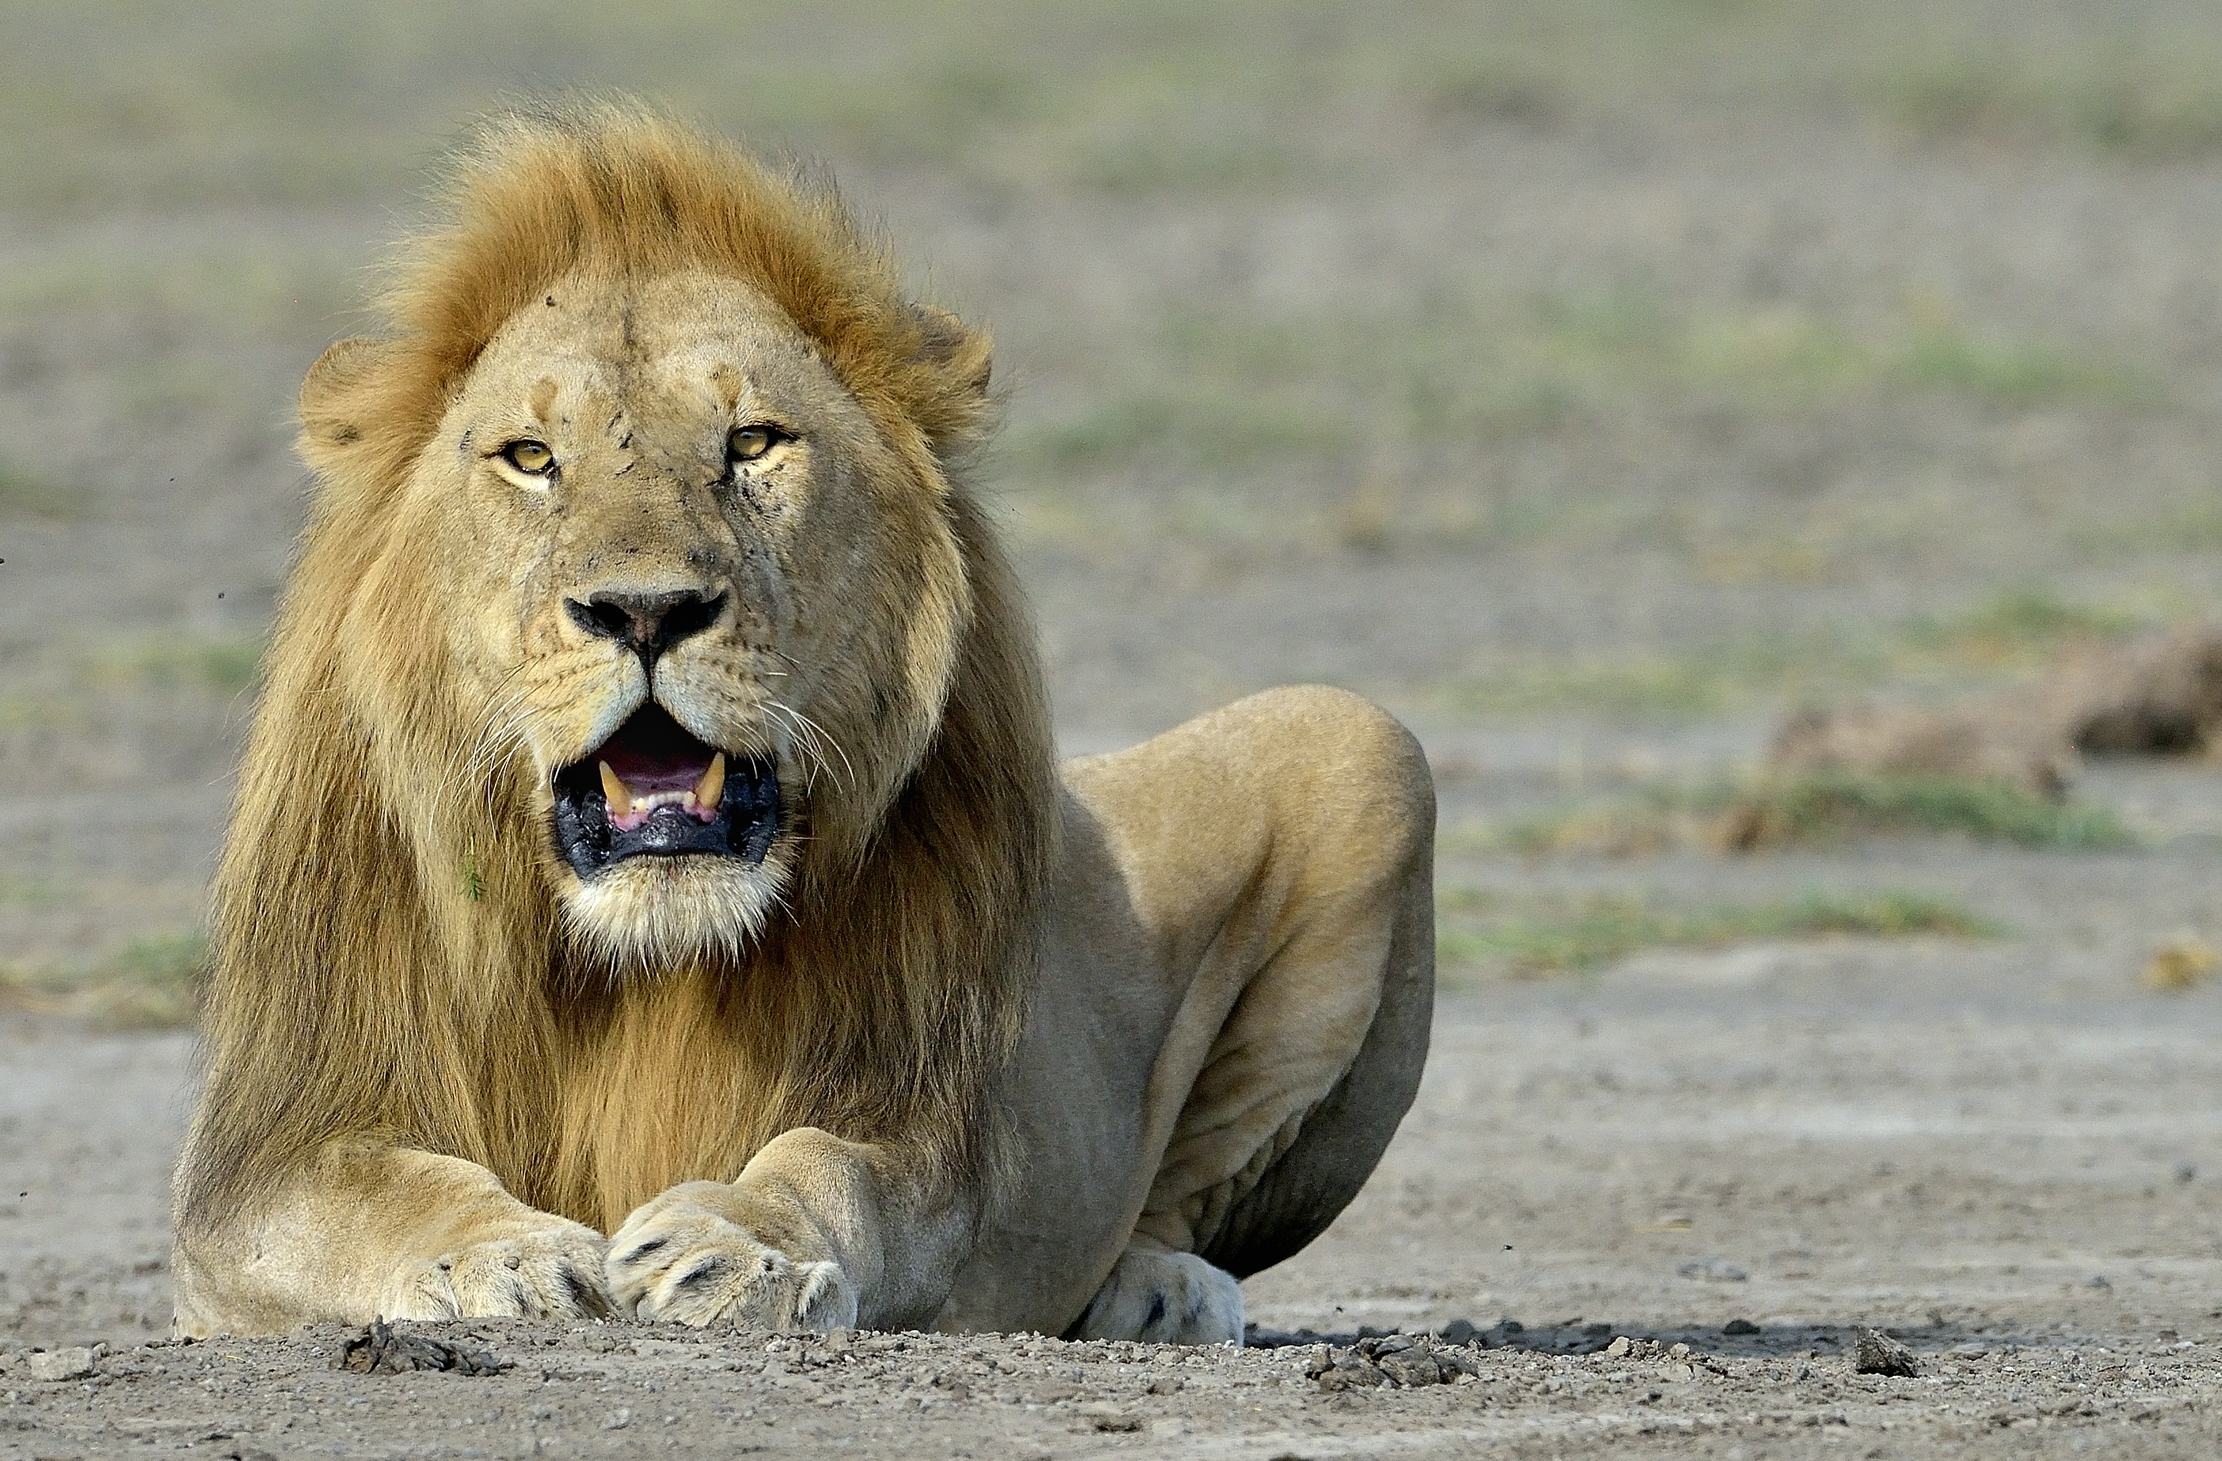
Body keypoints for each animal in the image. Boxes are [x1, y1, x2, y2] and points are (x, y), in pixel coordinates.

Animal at [170, 100, 1435, 1346]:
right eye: (531, 458)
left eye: (752, 443)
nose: (644, 609)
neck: (647, 959)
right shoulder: (257, 1164)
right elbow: (367, 1195)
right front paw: (504, 1257)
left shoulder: (930, 1136)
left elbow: (833, 1170)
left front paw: (736, 1247)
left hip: (1359, 742)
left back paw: (1160, 1292)